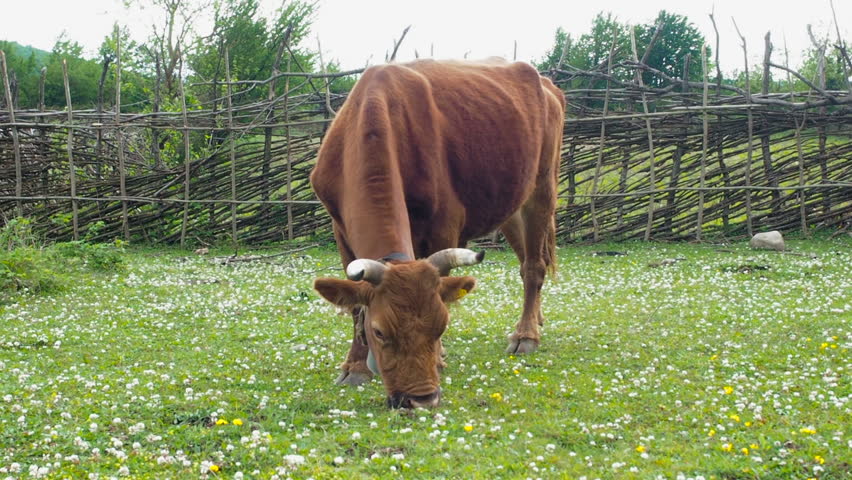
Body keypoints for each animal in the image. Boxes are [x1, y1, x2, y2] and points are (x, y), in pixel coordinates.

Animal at [310, 58, 564, 406]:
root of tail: (547, 83)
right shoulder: (340, 229)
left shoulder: (445, 224)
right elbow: (355, 306)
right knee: (527, 260)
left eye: (442, 326)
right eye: (379, 332)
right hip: (511, 203)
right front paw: (355, 366)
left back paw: (525, 335)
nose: (420, 398)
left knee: (534, 266)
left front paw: (439, 357)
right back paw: (535, 320)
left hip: (542, 188)